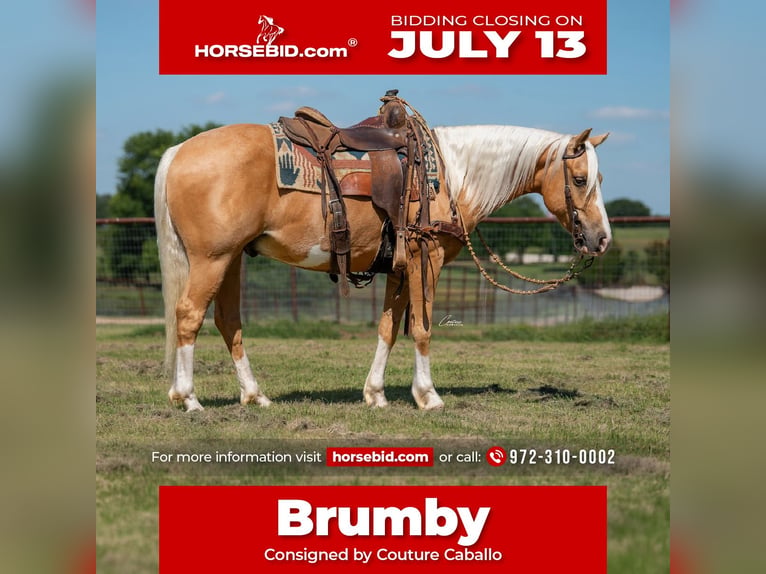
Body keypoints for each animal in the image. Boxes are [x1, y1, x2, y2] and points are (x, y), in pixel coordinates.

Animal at [154, 112, 611, 412]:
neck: (450, 174)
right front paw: (428, 396)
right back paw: (189, 398)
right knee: (189, 315)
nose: (601, 238)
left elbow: (389, 328)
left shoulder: (399, 267)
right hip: (212, 259)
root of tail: (178, 150)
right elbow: (422, 328)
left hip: (230, 260)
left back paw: (253, 395)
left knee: (227, 321)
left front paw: (375, 394)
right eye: (580, 179)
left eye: (600, 178)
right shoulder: (428, 259)